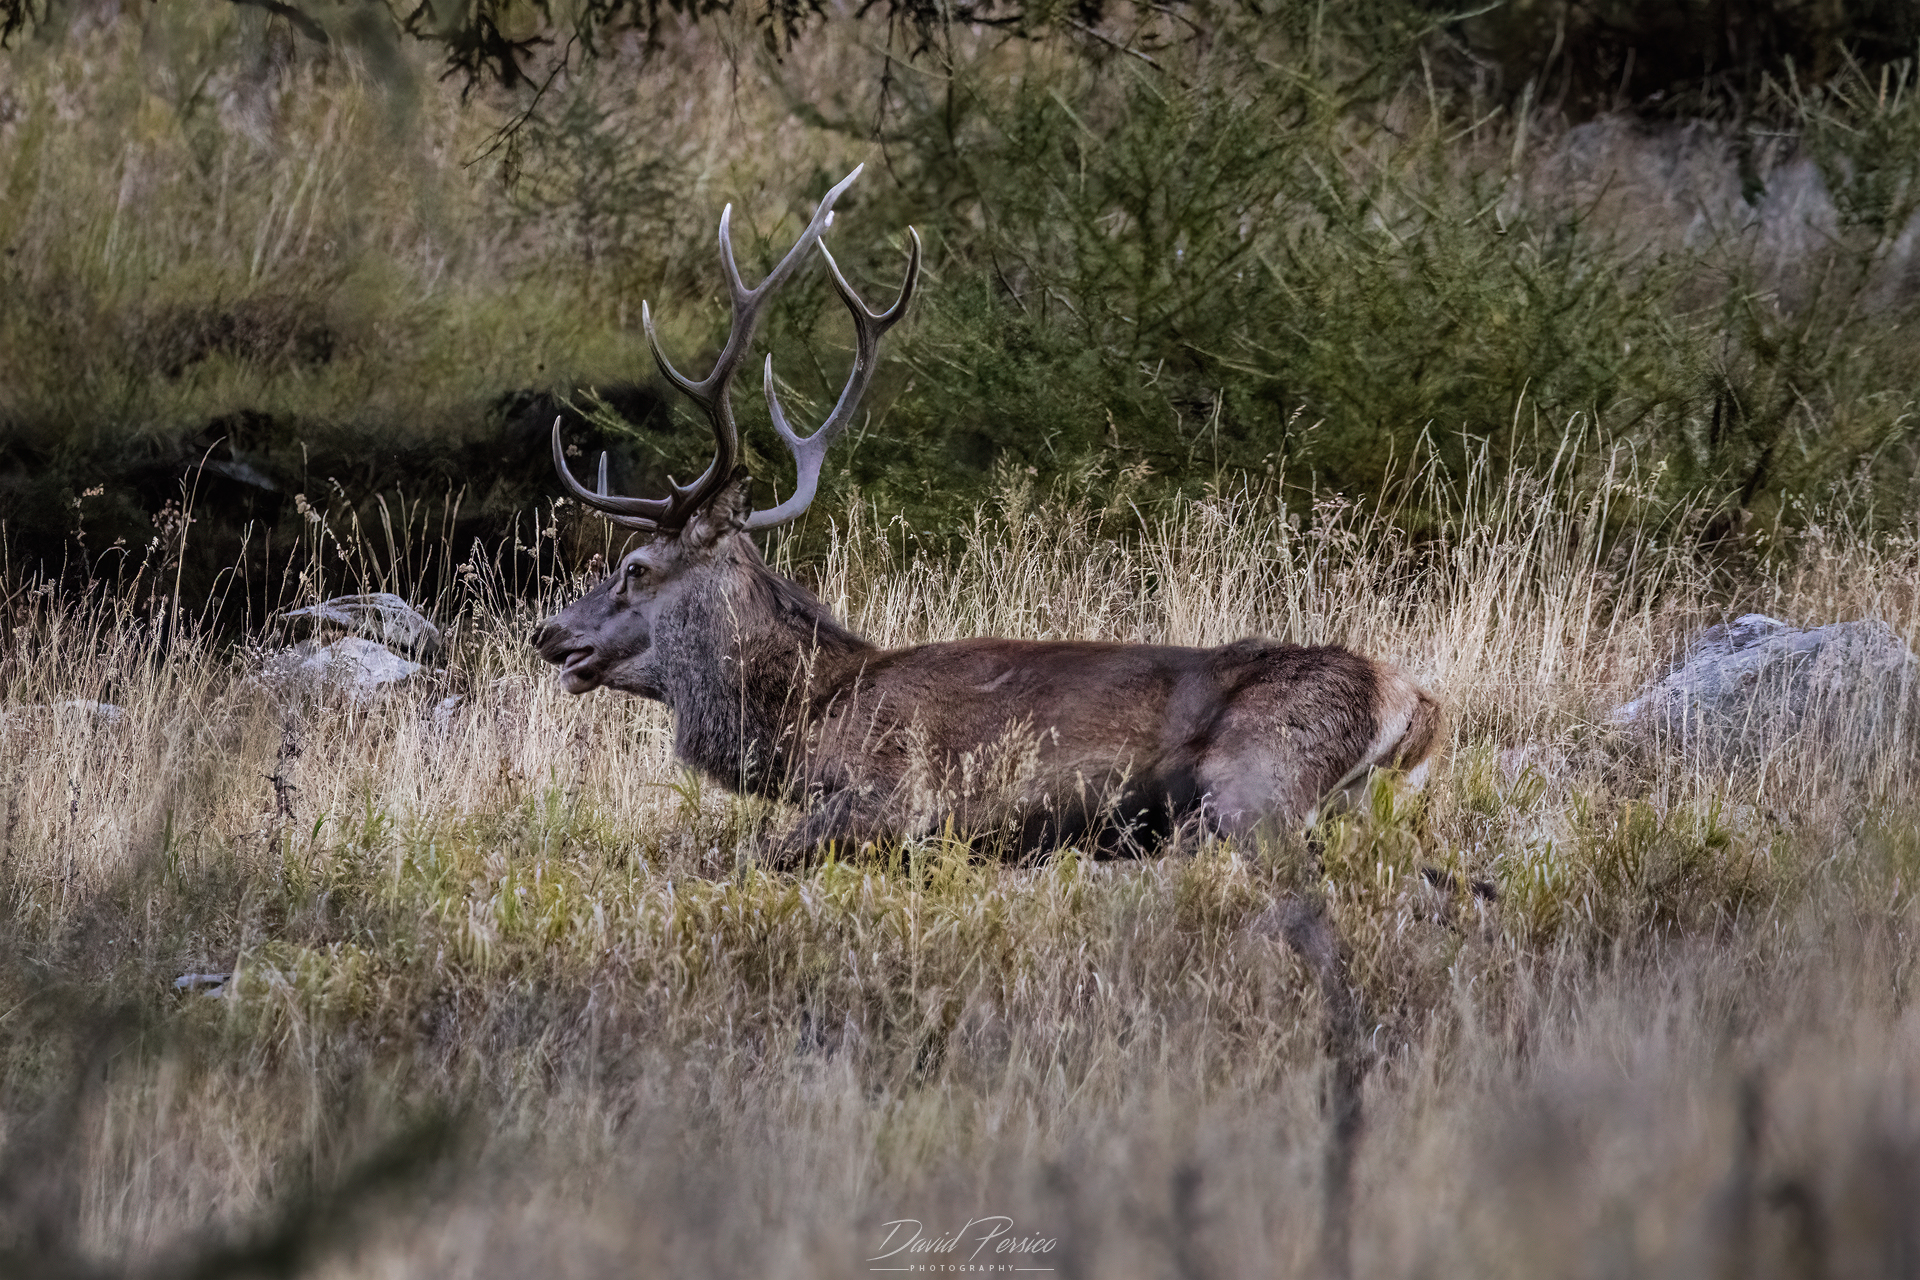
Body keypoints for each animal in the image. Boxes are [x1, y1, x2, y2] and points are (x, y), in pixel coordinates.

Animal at [532, 166, 1442, 869]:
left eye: (634, 568)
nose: (548, 631)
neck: (808, 720)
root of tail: (1416, 709)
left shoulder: (897, 791)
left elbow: (745, 859)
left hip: (1253, 781)